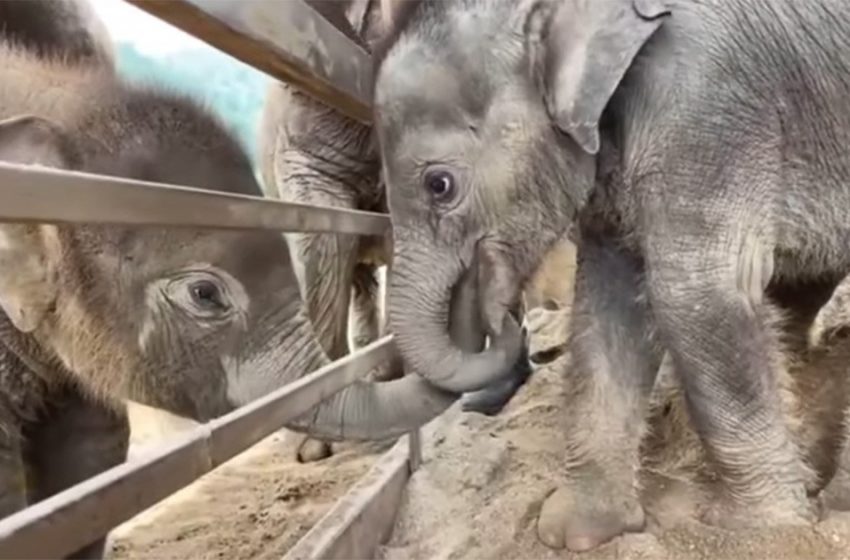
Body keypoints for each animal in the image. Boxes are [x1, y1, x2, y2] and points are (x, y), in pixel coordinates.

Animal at [370, 0, 850, 552]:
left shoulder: (707, 107)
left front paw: (764, 534)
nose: (507, 317)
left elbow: (692, 293)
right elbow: (608, 302)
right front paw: (576, 532)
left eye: (439, 185)